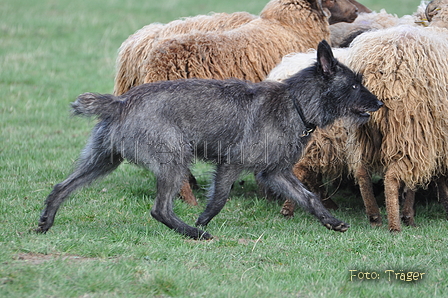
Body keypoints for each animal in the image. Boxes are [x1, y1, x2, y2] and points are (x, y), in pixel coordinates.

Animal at [36, 40, 384, 239]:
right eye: (354, 85)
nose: (380, 103)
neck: (294, 103)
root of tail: (122, 102)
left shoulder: (276, 173)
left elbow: (309, 197)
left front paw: (331, 221)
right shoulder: (232, 165)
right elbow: (220, 197)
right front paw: (203, 220)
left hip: (102, 162)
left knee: (61, 187)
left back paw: (45, 222)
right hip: (173, 161)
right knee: (160, 209)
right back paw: (192, 233)